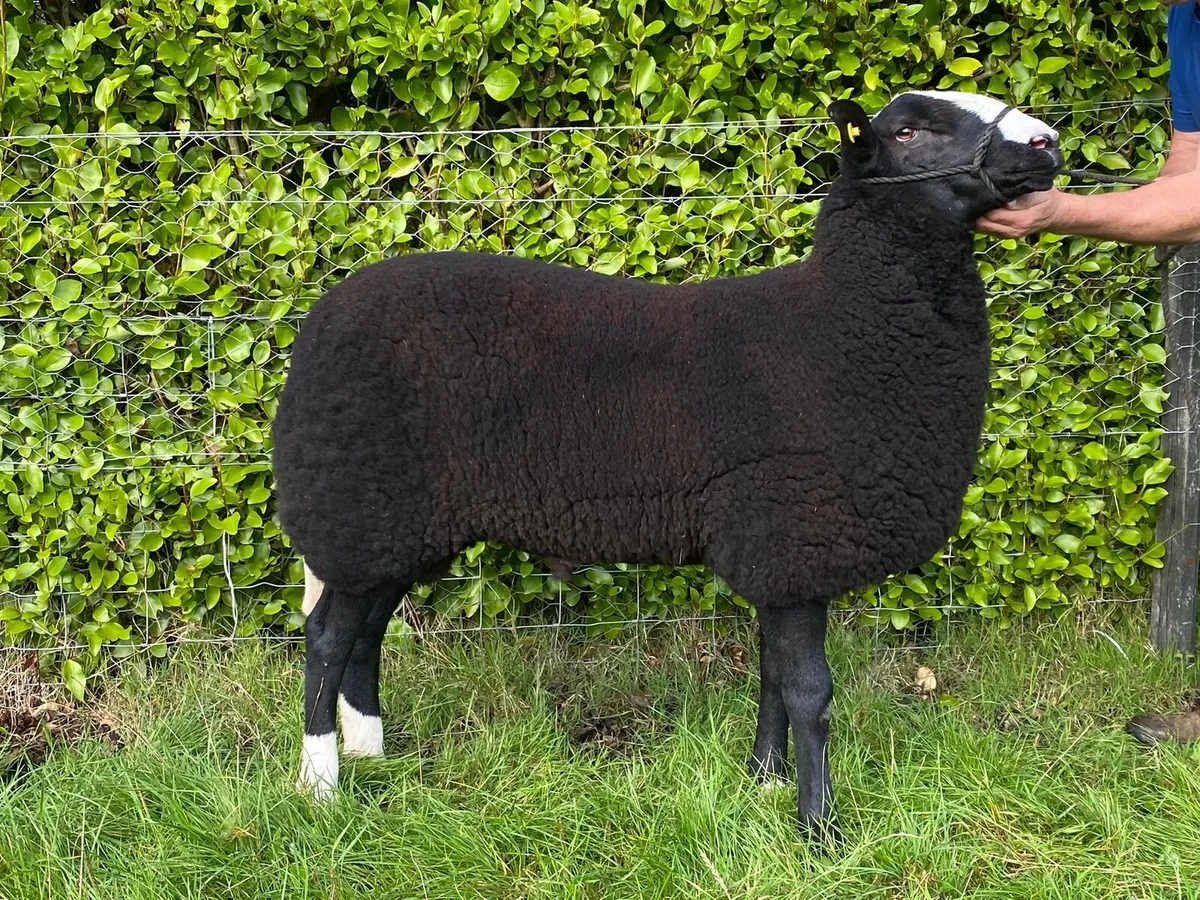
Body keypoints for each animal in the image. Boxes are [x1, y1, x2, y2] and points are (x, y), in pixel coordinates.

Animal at [272, 90, 1063, 832]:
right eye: (908, 131)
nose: (1047, 143)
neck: (841, 322)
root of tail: (318, 320)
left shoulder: (777, 547)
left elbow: (773, 677)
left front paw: (764, 781)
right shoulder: (792, 532)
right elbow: (811, 693)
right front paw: (819, 829)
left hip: (391, 520)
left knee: (366, 634)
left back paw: (371, 754)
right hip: (358, 500)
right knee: (327, 639)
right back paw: (320, 785)